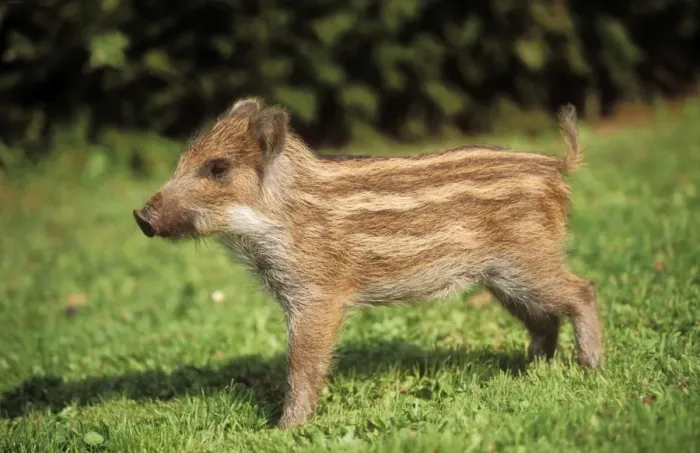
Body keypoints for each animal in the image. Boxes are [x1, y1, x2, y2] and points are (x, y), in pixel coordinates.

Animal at [133, 98, 603, 429]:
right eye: (182, 160)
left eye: (218, 168)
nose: (141, 217)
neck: (279, 218)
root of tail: (554, 165)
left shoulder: (317, 296)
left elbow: (302, 363)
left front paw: (283, 429)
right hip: (503, 278)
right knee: (544, 319)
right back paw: (530, 372)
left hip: (526, 261)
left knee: (582, 291)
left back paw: (591, 368)